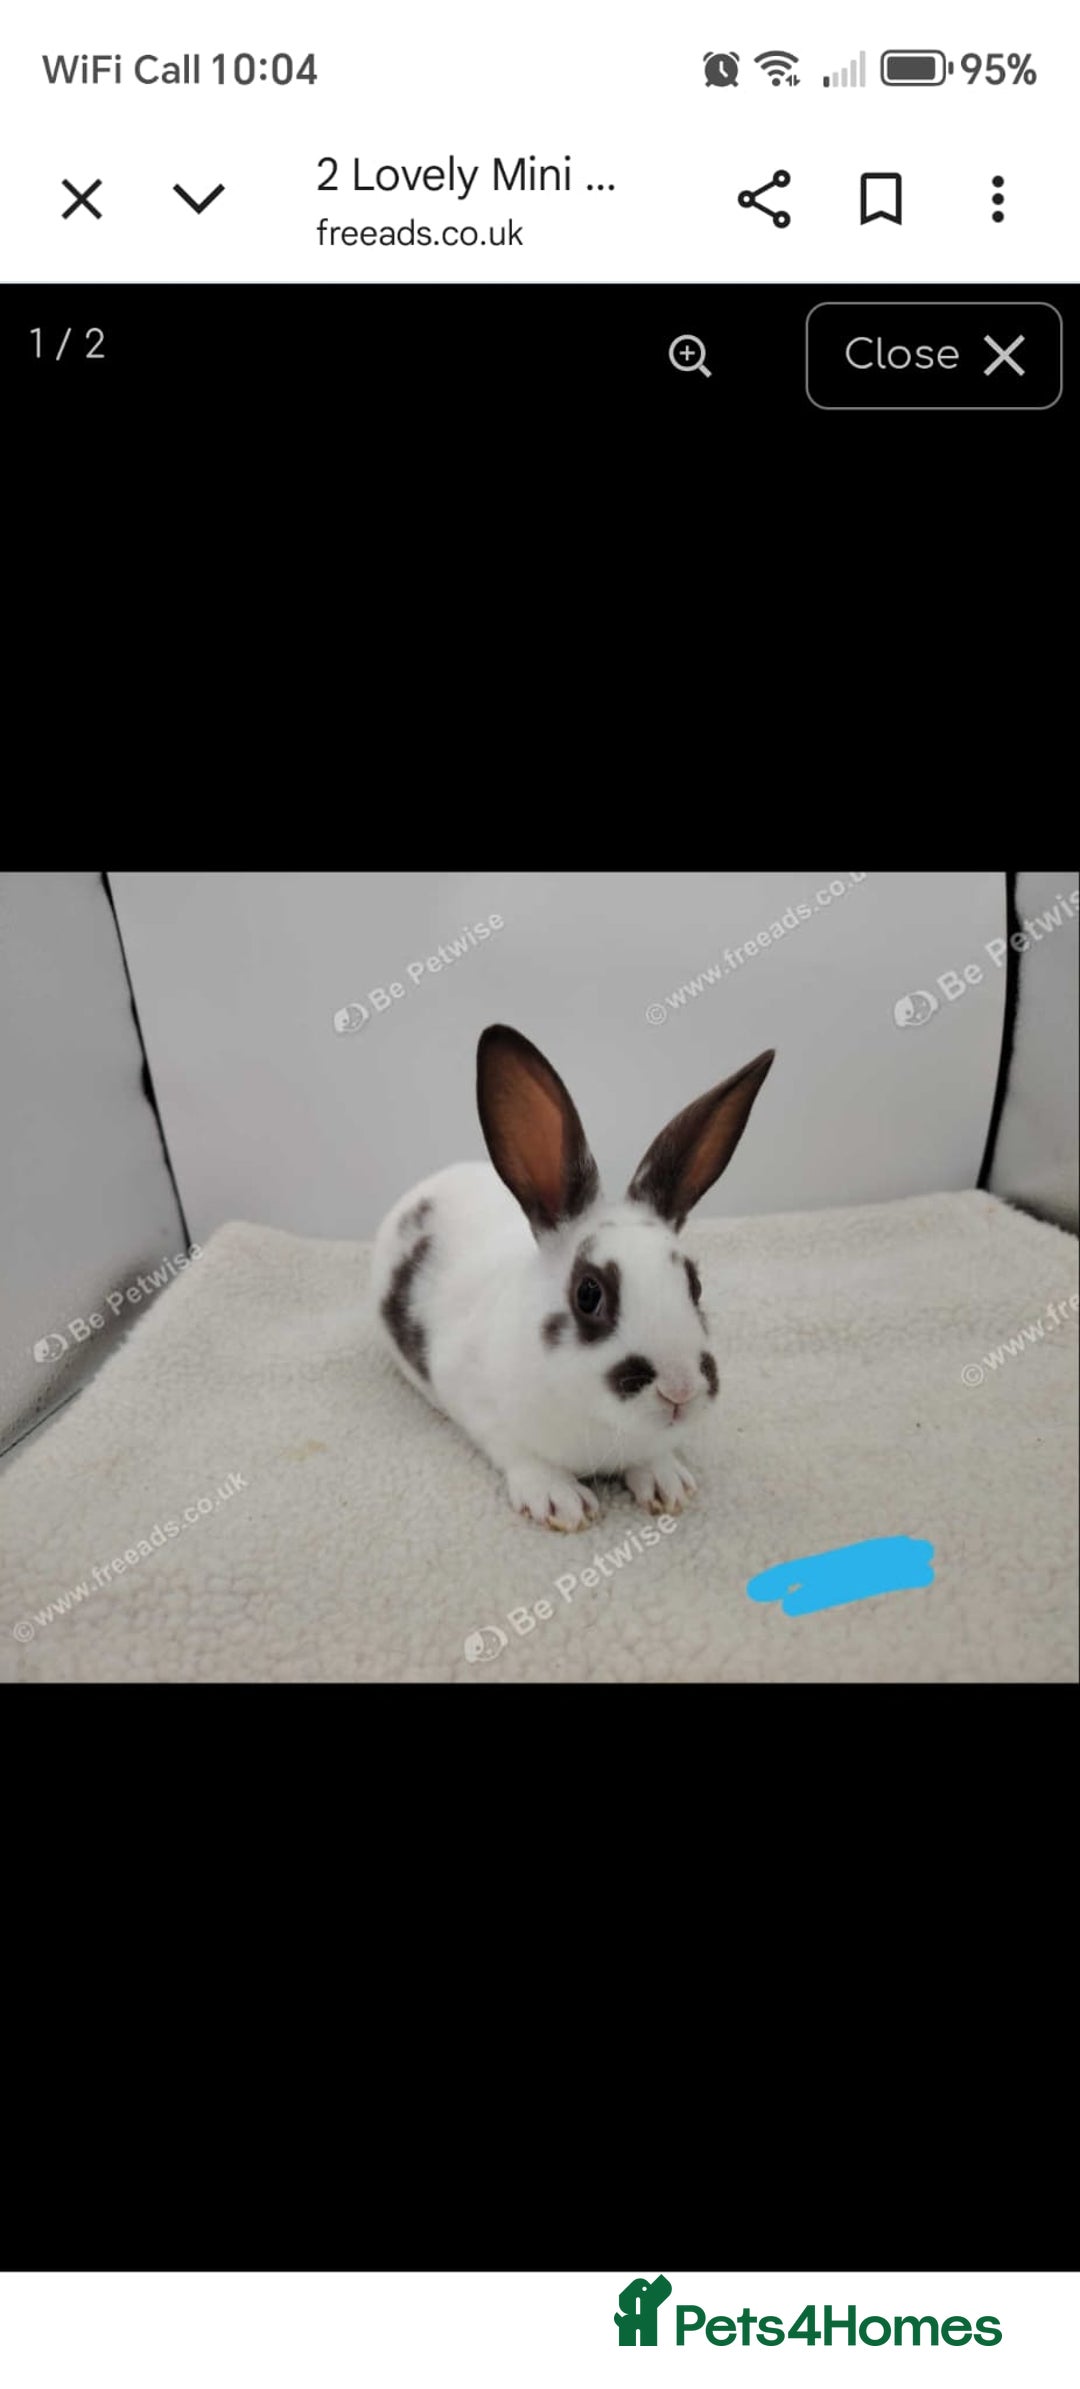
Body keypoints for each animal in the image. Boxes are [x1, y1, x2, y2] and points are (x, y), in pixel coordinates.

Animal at [371, 1024, 774, 1530]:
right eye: (588, 1294)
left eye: (694, 1285)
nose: (679, 1391)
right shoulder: (480, 1407)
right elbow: (521, 1456)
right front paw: (560, 1501)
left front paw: (668, 1484)